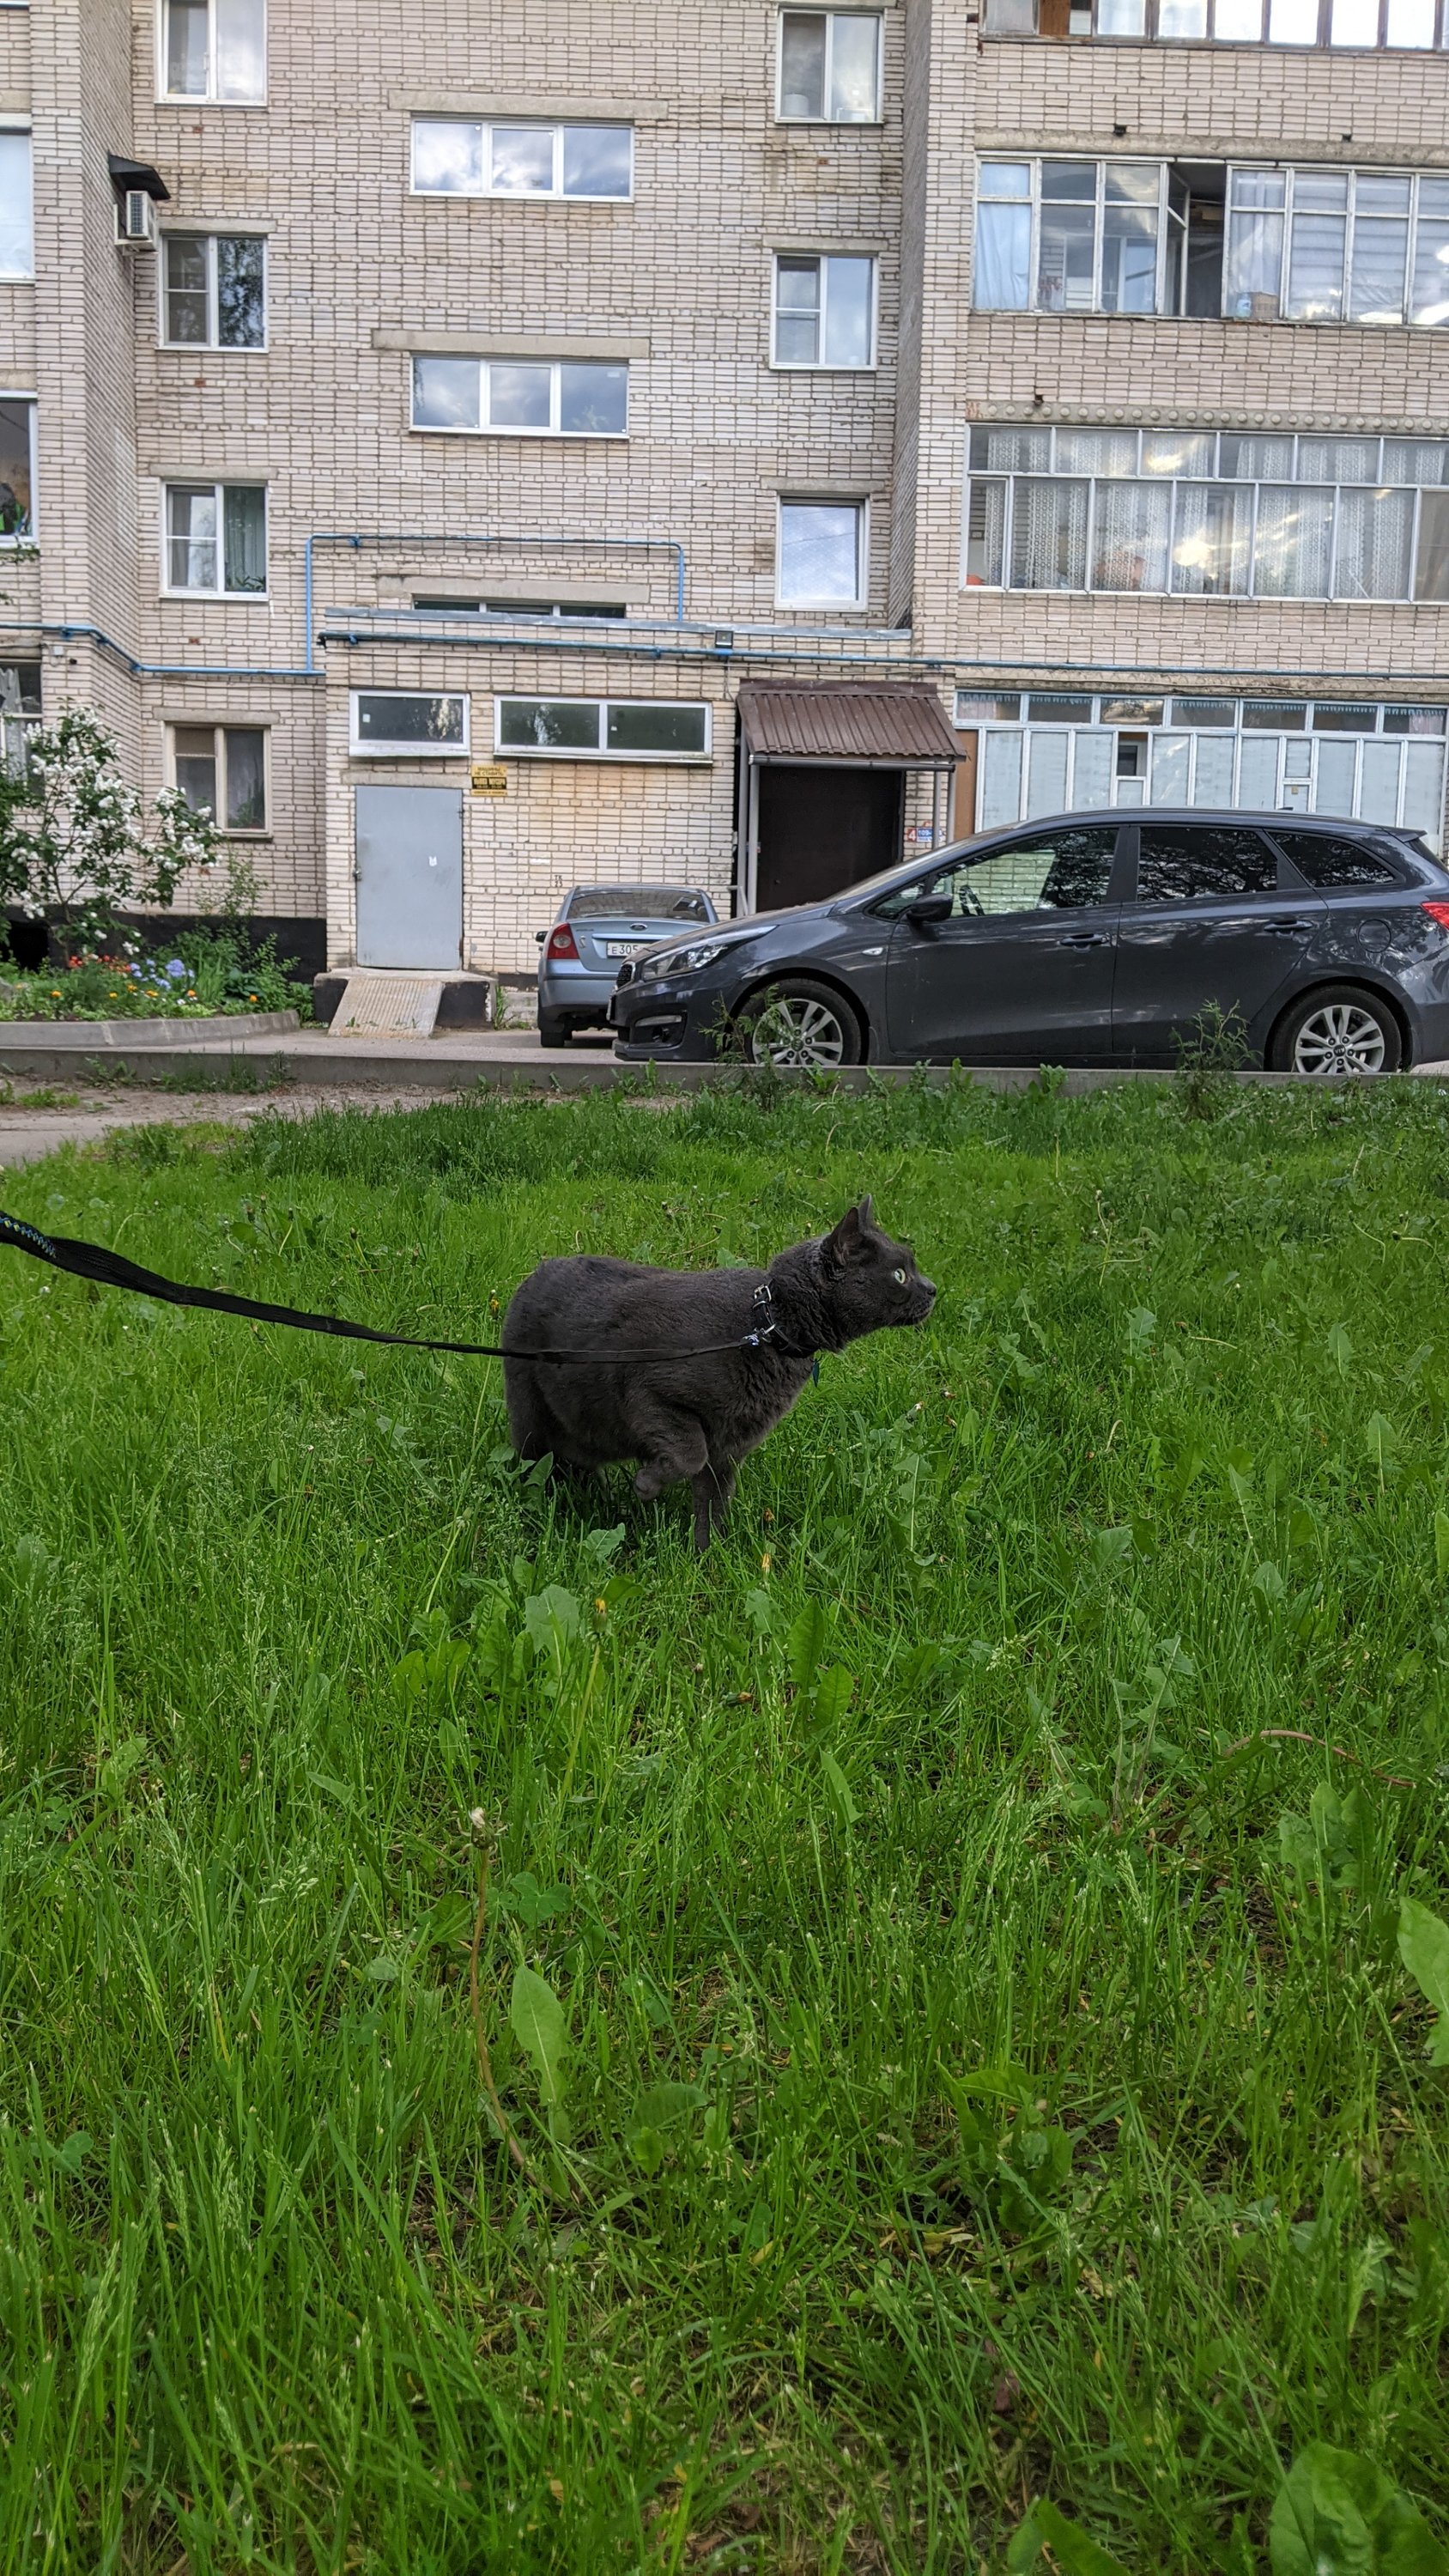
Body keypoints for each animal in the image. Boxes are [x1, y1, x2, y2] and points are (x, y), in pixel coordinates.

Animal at [503, 1198, 935, 1550]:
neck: (767, 1327)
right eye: (899, 1275)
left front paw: (708, 1559)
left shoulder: (731, 1445)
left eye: (913, 1267)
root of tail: (531, 1275)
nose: (933, 1288)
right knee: (532, 1465)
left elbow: (713, 1501)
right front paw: (646, 1485)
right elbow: (690, 1455)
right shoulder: (648, 1391)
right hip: (533, 1418)